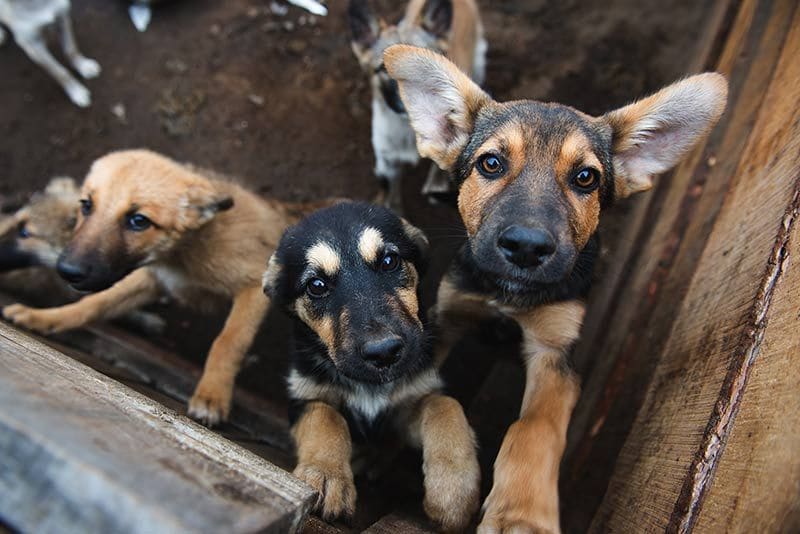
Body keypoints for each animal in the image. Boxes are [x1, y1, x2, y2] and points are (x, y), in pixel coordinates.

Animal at [0, 151, 310, 428]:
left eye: (139, 221)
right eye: (86, 205)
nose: (67, 270)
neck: (184, 252)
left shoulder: (254, 285)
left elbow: (228, 340)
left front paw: (212, 396)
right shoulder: (152, 279)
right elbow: (93, 304)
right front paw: (43, 318)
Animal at [262, 203, 478, 532]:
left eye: (389, 261)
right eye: (316, 286)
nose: (384, 352)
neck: (371, 385)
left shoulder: (406, 407)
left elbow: (444, 405)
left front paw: (454, 491)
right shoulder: (304, 396)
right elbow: (326, 417)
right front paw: (326, 475)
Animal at [384, 46, 728, 534]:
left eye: (585, 178)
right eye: (491, 163)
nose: (526, 247)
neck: (508, 297)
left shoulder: (555, 352)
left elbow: (535, 428)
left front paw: (521, 512)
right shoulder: (448, 317)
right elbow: (430, 393)